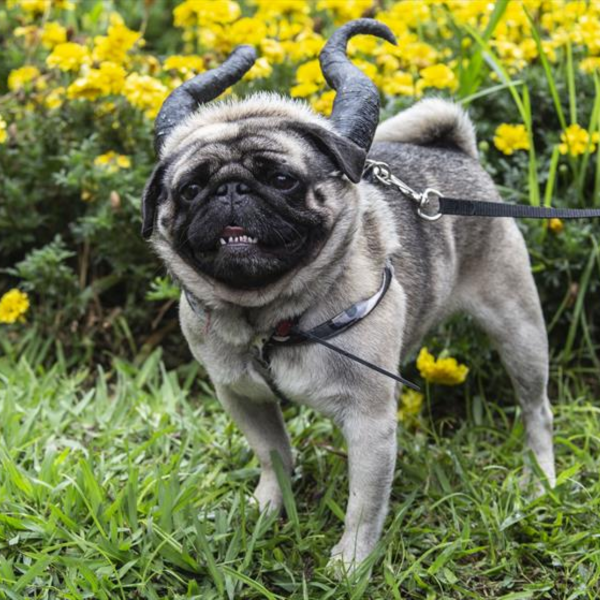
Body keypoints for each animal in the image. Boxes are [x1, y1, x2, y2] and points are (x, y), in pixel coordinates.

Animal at [143, 18, 556, 572]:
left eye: (281, 179)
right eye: (189, 190)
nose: (231, 189)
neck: (272, 317)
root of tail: (454, 150)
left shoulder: (370, 423)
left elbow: (364, 503)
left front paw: (349, 565)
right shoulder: (242, 396)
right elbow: (274, 455)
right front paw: (267, 508)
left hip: (519, 329)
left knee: (536, 410)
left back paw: (541, 479)